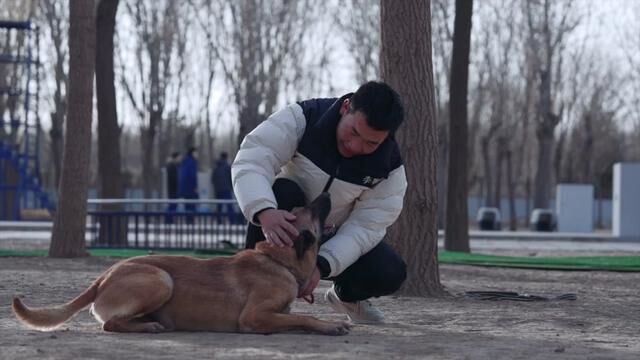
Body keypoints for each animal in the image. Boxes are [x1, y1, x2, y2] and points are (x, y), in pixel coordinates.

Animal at [11, 193, 350, 336]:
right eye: (309, 209)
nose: (327, 192)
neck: (277, 260)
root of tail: (103, 278)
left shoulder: (276, 312)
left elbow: (297, 315)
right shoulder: (255, 316)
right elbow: (305, 316)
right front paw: (329, 325)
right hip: (161, 280)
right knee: (110, 324)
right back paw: (147, 327)